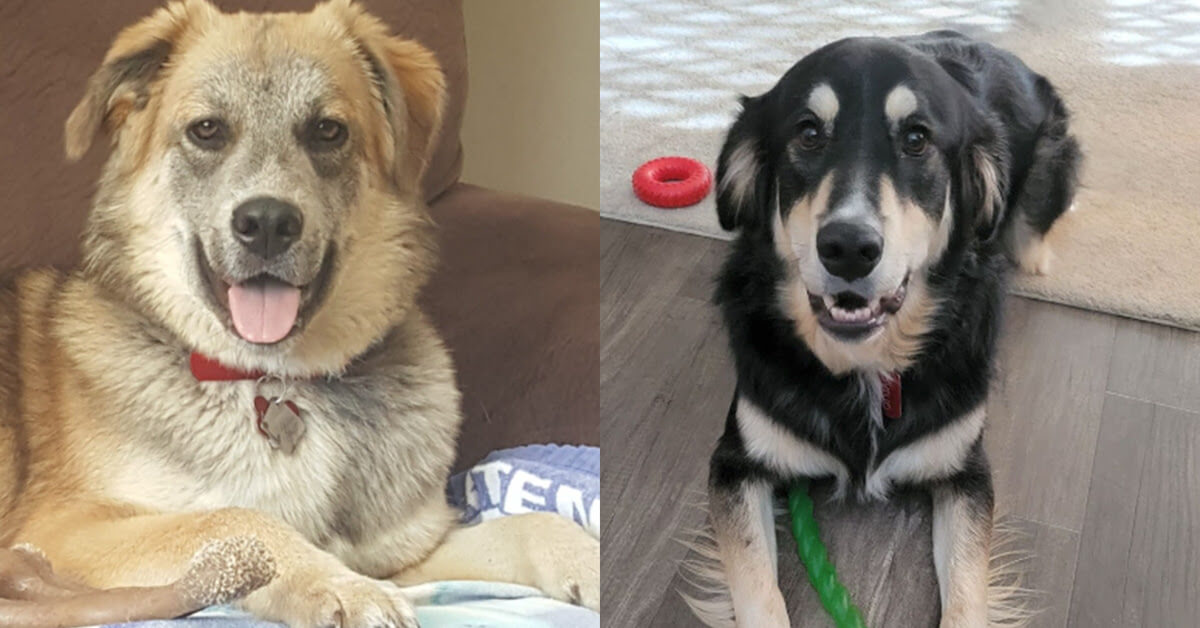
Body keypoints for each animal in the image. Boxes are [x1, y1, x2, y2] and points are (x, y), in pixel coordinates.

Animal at [0, 2, 600, 624]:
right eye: (206, 130)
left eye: (327, 130)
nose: (267, 223)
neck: (274, 381)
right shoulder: (66, 529)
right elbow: (237, 519)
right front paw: (343, 589)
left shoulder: (408, 550)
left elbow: (530, 524)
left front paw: (590, 563)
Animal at [696, 30, 1080, 628]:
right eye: (808, 133)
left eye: (917, 139)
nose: (848, 247)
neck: (866, 365)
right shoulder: (736, 464)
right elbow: (758, 588)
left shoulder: (967, 475)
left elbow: (967, 594)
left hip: (1047, 172)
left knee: (1032, 226)